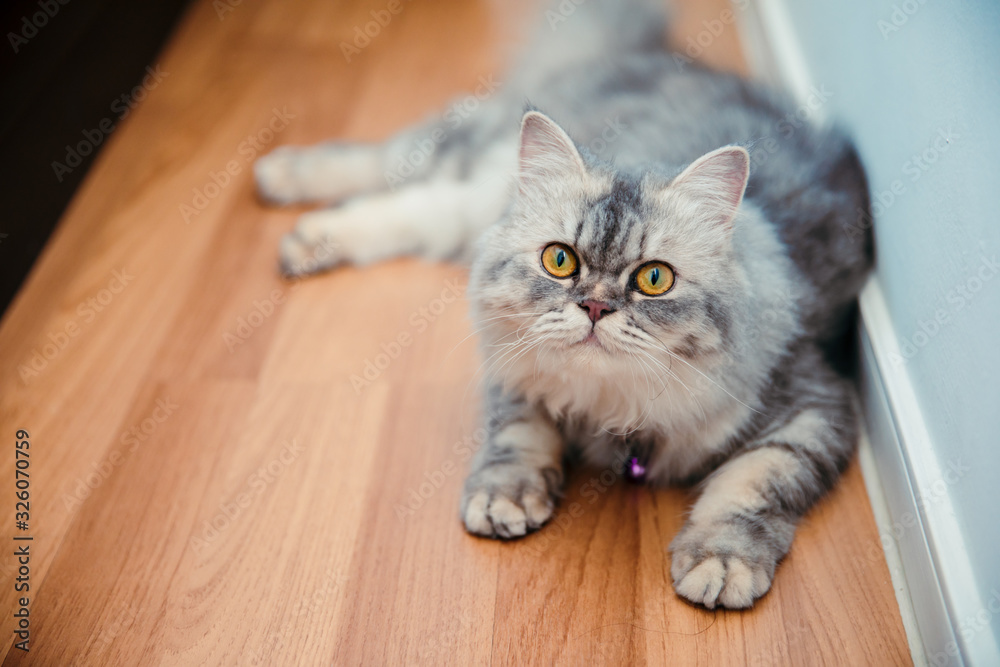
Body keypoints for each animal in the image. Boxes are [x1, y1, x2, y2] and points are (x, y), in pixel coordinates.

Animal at [254, 0, 872, 612]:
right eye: (559, 261)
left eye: (654, 279)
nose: (595, 307)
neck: (609, 406)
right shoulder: (513, 367)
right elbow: (518, 435)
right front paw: (505, 498)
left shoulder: (814, 409)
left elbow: (750, 485)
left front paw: (720, 561)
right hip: (471, 163)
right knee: (394, 166)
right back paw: (286, 191)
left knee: (414, 198)